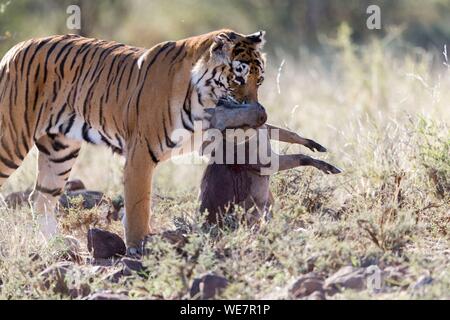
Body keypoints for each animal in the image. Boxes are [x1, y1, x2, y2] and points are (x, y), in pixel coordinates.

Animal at [0, 28, 268, 252]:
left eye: (259, 80)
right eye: (238, 78)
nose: (258, 110)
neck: (204, 103)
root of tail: (14, 49)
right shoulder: (140, 153)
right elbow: (139, 206)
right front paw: (139, 247)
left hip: (60, 149)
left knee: (40, 198)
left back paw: (58, 245)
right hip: (11, 141)